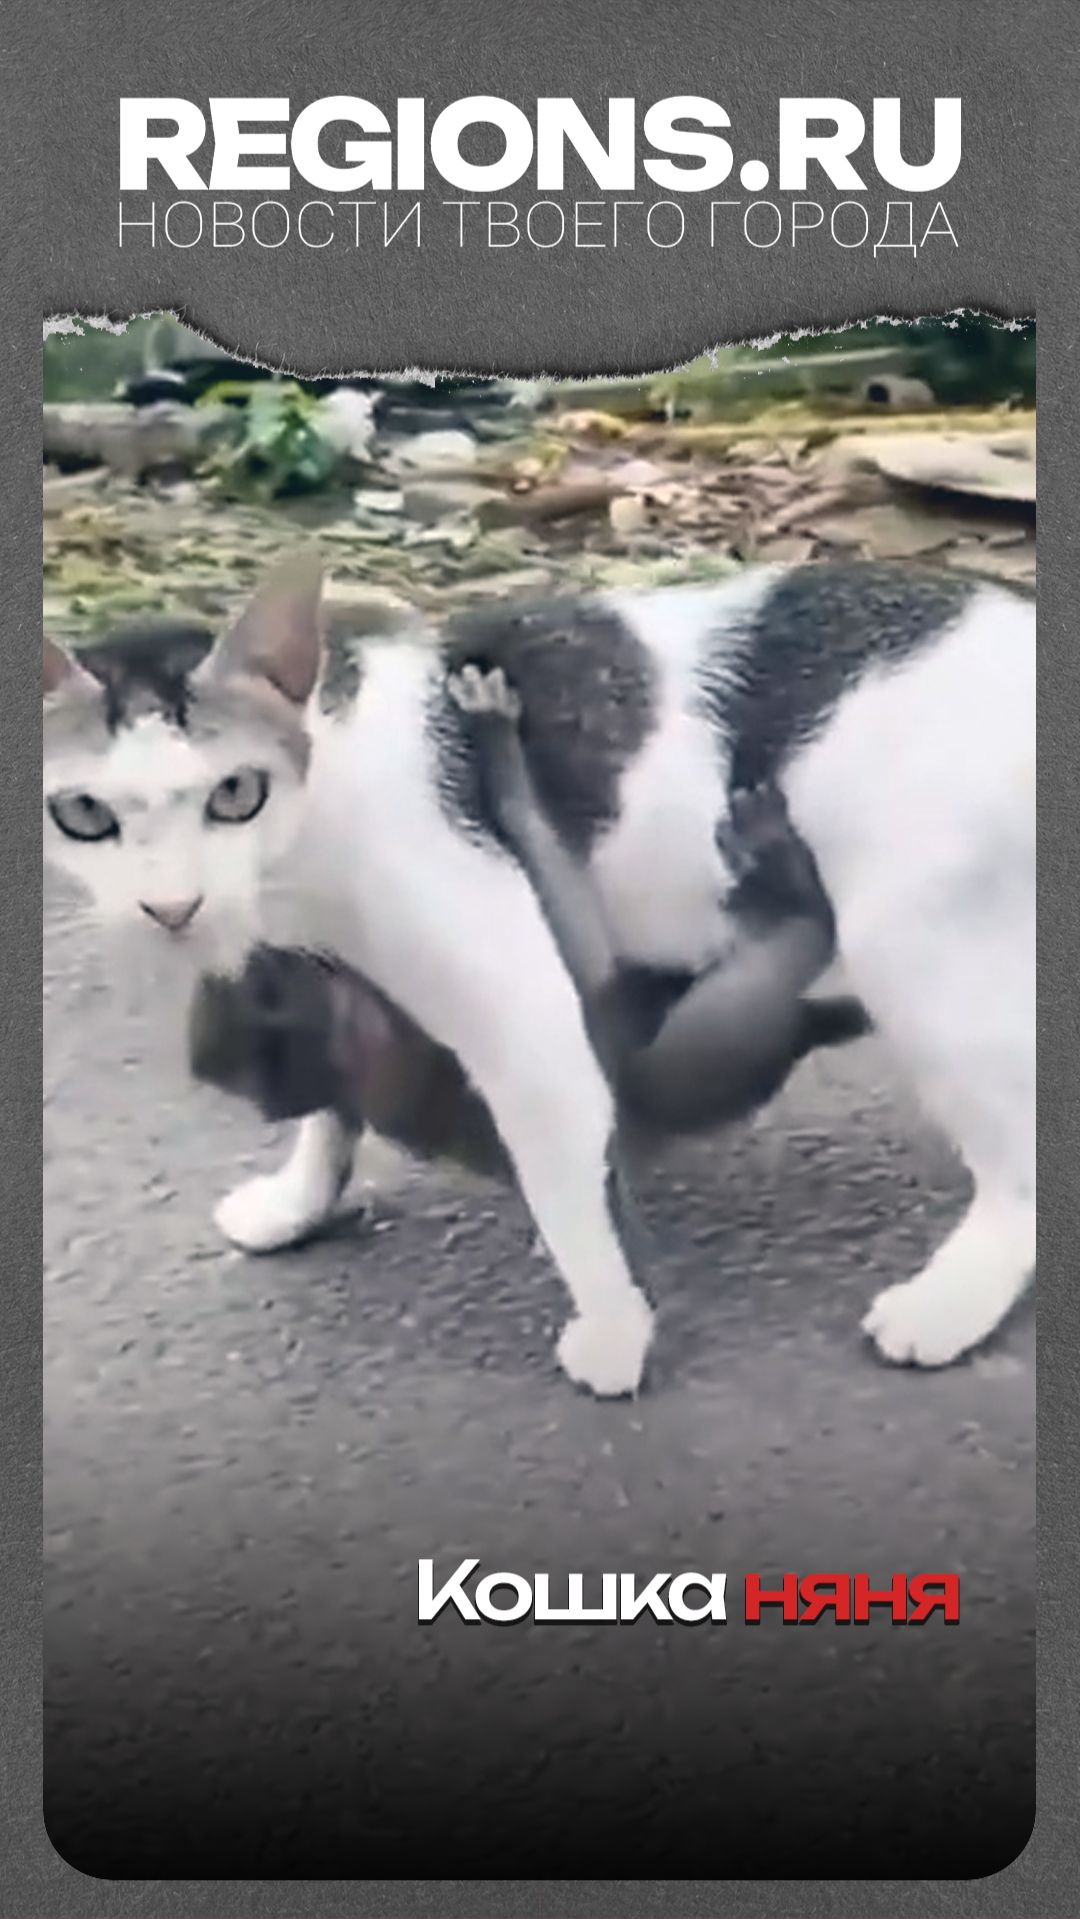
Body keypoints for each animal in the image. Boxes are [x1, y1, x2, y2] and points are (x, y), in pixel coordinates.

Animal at [43, 554, 1035, 1397]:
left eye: (234, 794)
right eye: (83, 815)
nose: (171, 904)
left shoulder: (526, 1025)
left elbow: (566, 1192)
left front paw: (614, 1326)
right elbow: (332, 1108)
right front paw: (300, 1199)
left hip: (912, 944)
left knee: (1013, 1156)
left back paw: (953, 1298)